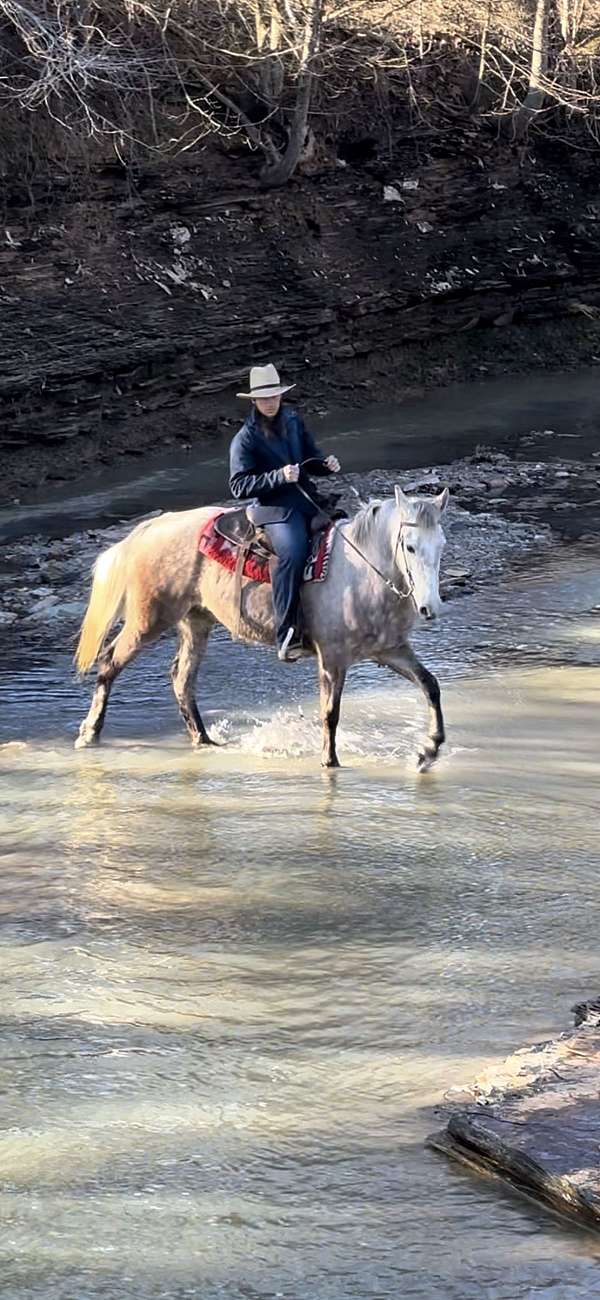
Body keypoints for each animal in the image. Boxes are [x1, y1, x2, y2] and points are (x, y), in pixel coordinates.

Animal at [75, 488, 446, 769]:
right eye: (410, 545)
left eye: (440, 545)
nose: (430, 608)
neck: (362, 573)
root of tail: (150, 528)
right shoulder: (332, 658)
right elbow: (330, 712)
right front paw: (329, 763)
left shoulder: (390, 650)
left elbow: (430, 685)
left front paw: (429, 750)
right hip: (148, 619)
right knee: (109, 662)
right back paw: (89, 733)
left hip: (196, 621)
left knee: (182, 679)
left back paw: (203, 739)